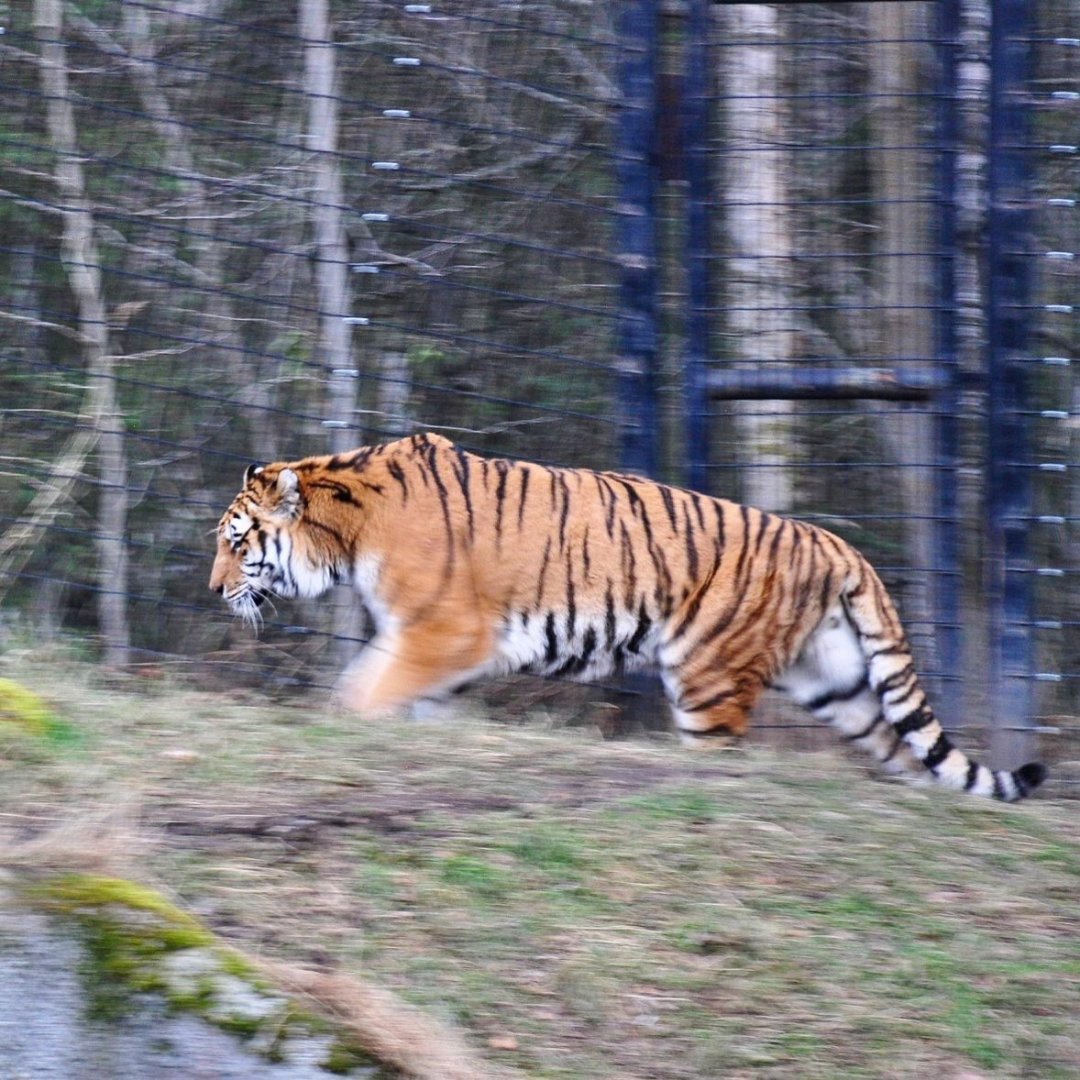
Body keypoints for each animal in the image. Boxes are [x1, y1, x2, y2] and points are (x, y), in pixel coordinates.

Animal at [210, 432, 1047, 802]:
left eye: (236, 541)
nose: (216, 589)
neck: (347, 531)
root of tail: (840, 545)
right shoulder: (439, 652)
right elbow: (409, 704)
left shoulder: (444, 633)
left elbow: (361, 691)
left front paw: (340, 728)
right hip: (835, 683)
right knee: (904, 747)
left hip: (709, 678)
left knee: (720, 751)